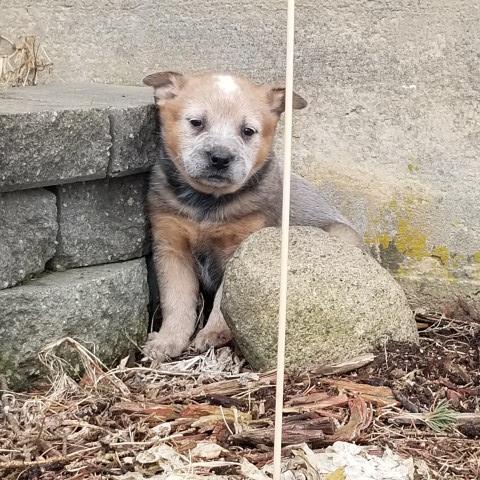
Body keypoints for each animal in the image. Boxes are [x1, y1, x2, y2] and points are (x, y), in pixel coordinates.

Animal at [142, 71, 360, 362]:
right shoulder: (171, 246)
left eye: (247, 131)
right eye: (197, 122)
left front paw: (213, 334)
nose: (220, 157)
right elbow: (177, 301)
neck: (208, 206)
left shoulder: (240, 249)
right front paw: (168, 341)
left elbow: (223, 302)